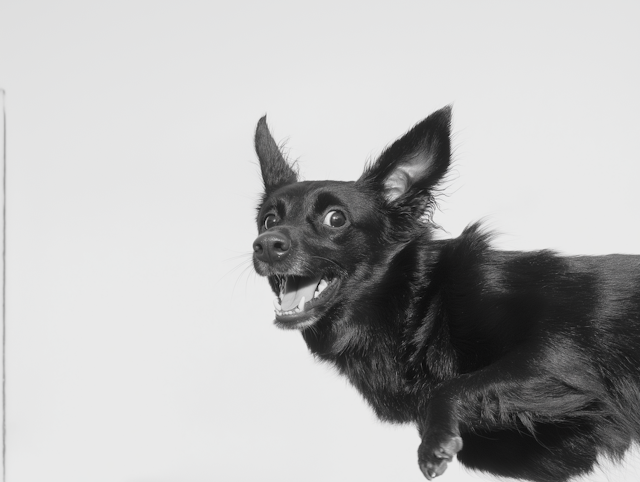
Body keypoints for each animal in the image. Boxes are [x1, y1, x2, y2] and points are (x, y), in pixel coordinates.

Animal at [250, 106, 640, 482]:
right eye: (269, 220)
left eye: (336, 219)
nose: (266, 245)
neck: (421, 303)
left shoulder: (559, 354)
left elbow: (448, 389)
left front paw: (435, 442)